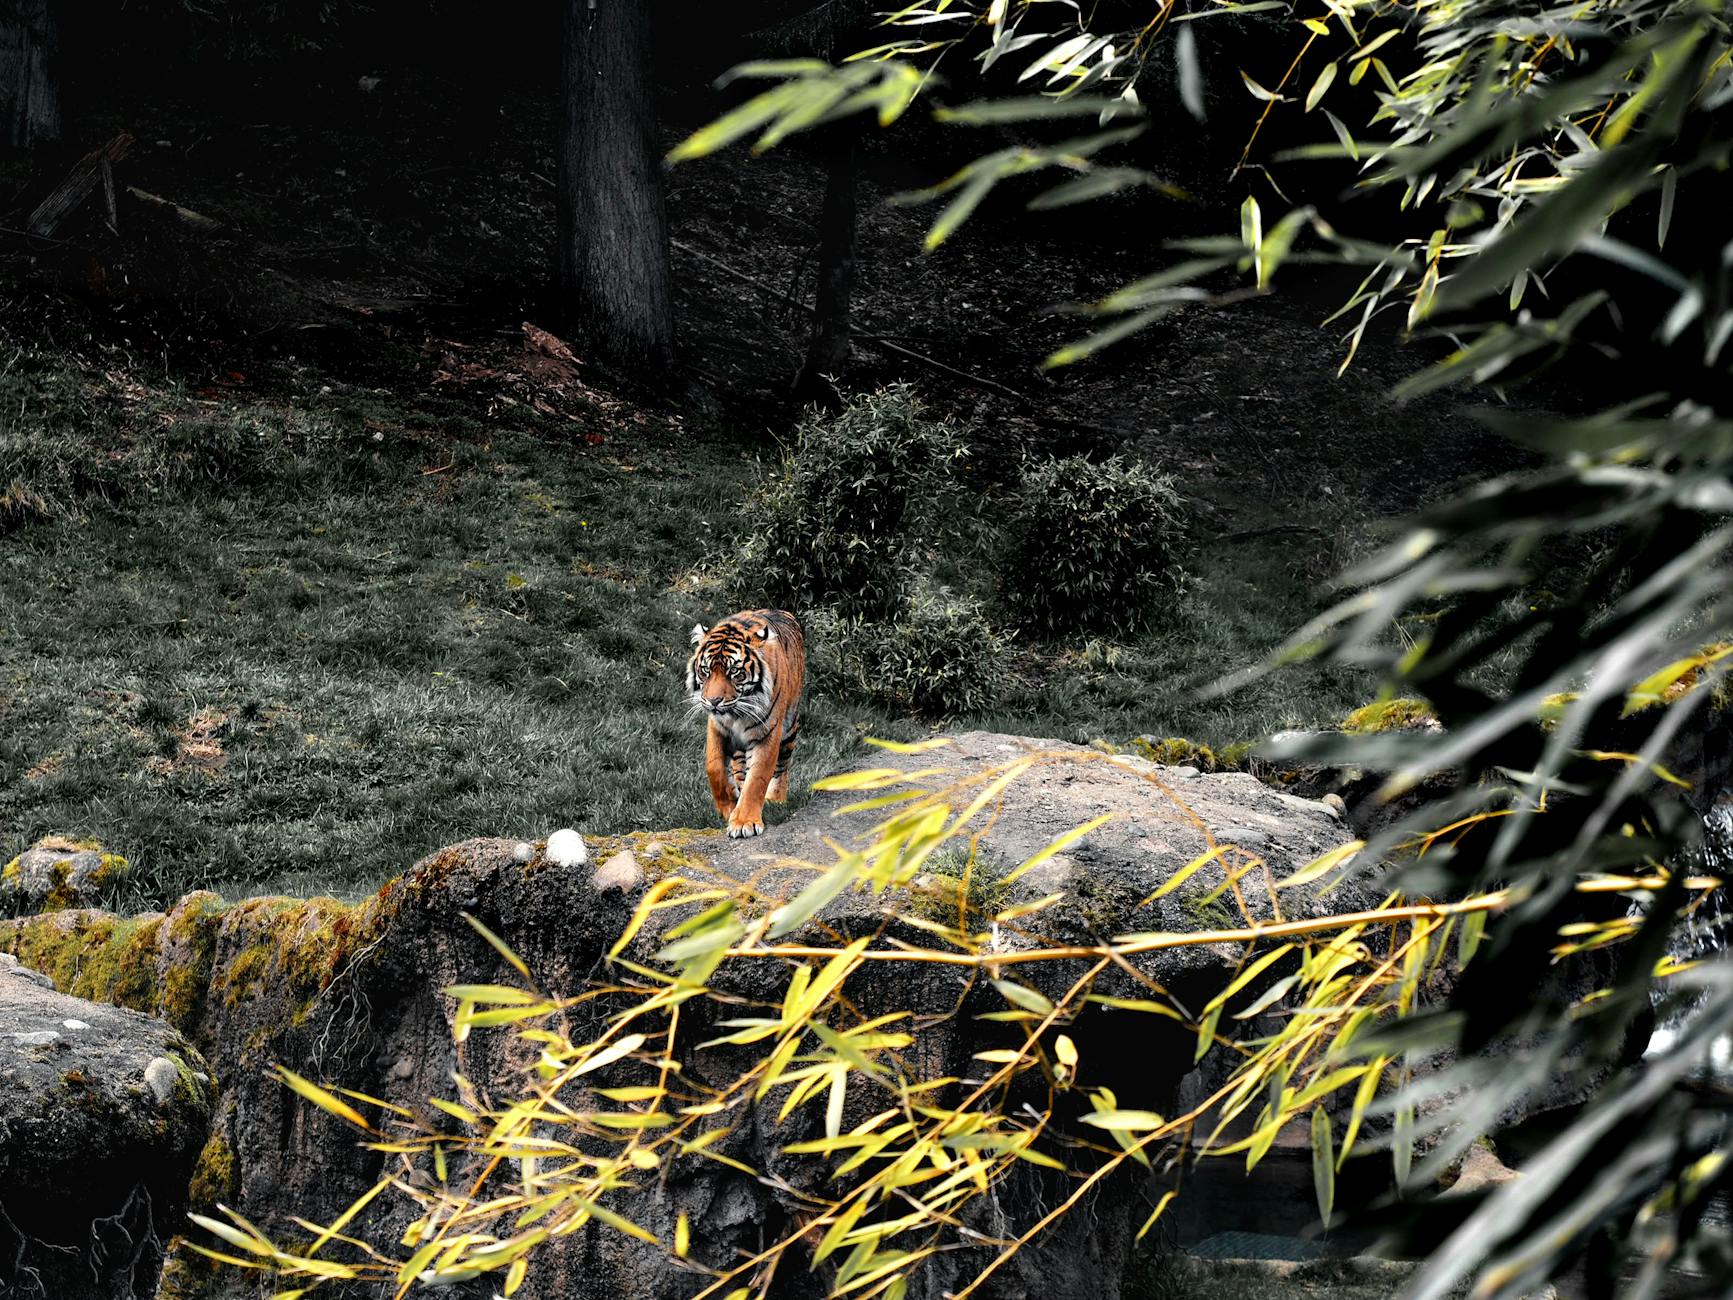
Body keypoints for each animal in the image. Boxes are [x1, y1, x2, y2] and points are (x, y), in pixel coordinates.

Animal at [685, 608, 806, 839]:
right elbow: (714, 768)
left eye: (734, 672)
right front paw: (729, 807)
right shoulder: (717, 728)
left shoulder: (767, 733)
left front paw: (744, 822)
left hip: (789, 728)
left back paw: (776, 799)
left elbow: (757, 779)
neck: (736, 714)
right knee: (740, 767)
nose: (713, 701)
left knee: (782, 767)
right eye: (705, 670)